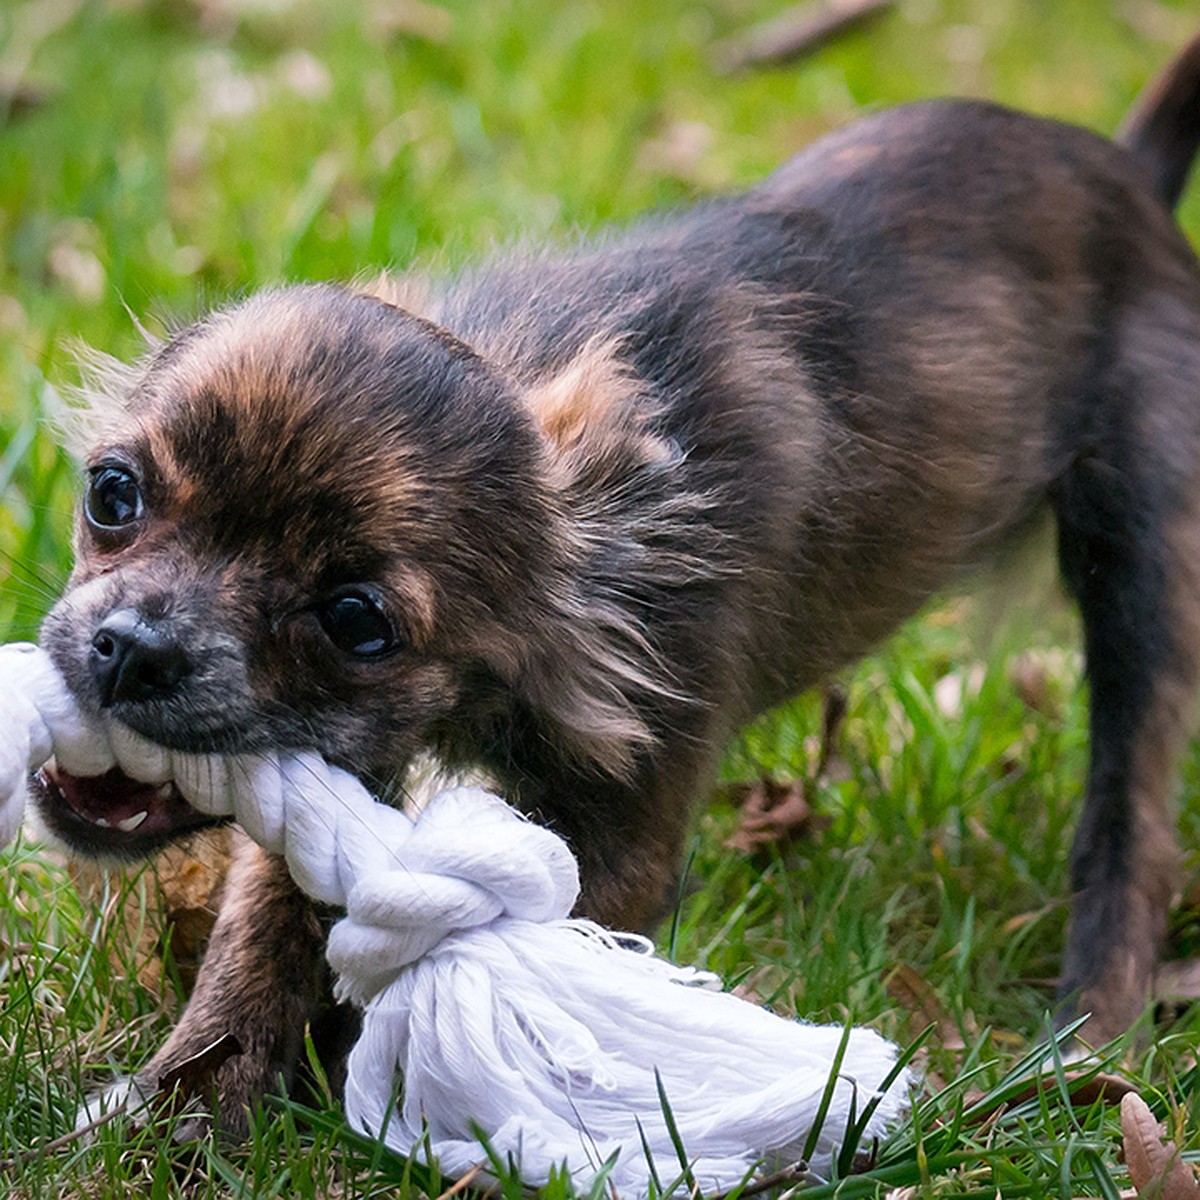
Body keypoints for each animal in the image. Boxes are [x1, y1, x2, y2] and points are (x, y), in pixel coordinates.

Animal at [32, 35, 1200, 1123]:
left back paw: (1088, 1041)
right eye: (112, 493)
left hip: (1142, 576)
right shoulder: (338, 771)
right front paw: (186, 1111)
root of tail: (1135, 178)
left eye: (357, 622)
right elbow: (263, 932)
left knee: (1131, 822)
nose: (132, 652)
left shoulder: (624, 826)